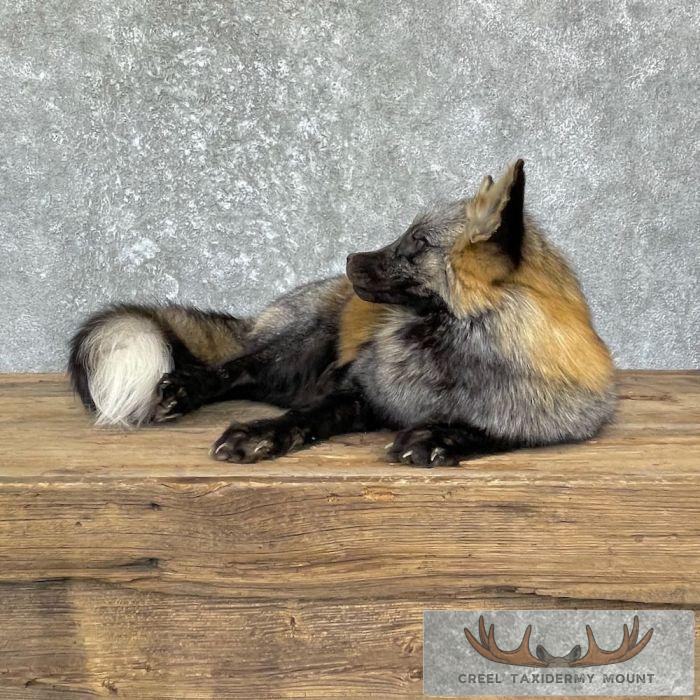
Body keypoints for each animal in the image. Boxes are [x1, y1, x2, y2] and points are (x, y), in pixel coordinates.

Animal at [69, 160, 615, 466]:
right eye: (406, 234)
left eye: (417, 244)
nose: (350, 259)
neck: (447, 366)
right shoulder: (359, 389)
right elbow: (306, 416)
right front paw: (260, 435)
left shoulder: (572, 419)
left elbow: (500, 431)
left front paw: (440, 436)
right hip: (298, 348)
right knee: (235, 369)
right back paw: (184, 390)